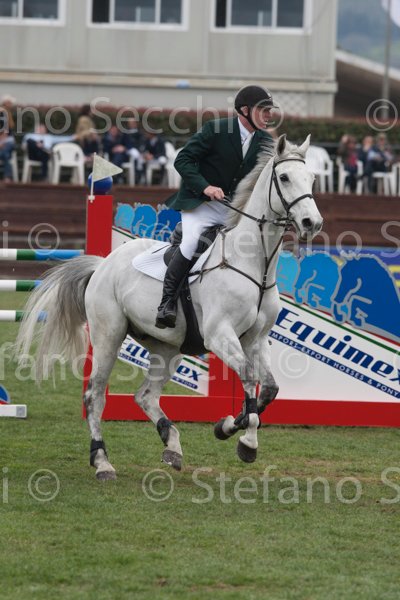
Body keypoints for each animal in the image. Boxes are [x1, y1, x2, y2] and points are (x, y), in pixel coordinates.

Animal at [15, 134, 323, 480]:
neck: (255, 263)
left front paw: (227, 426)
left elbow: (267, 389)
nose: (312, 223)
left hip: (167, 348)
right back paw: (102, 461)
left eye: (311, 178)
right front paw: (247, 443)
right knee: (94, 395)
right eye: (284, 178)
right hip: (109, 336)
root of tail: (103, 264)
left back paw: (171, 444)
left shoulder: (255, 339)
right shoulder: (220, 335)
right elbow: (247, 377)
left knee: (145, 396)